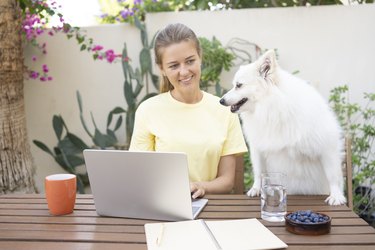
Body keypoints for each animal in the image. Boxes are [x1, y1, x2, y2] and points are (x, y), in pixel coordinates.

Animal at [222, 49, 348, 205]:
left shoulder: (326, 148)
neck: (272, 109)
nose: (221, 101)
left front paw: (336, 196)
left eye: (239, 85)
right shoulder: (258, 148)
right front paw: (256, 189)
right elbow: (258, 171)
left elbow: (332, 175)